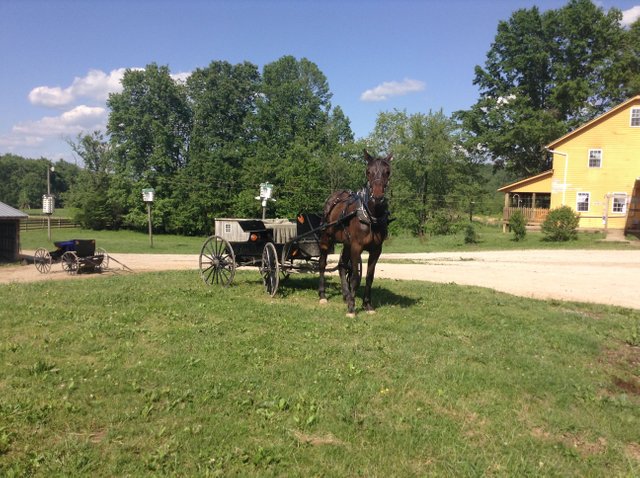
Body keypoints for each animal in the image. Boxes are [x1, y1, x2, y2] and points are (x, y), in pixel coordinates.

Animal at [318, 151, 392, 316]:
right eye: (368, 171)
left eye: (387, 172)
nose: (378, 196)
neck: (370, 216)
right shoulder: (356, 246)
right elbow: (355, 278)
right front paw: (352, 307)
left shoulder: (376, 250)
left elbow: (369, 277)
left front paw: (367, 305)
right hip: (326, 238)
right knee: (322, 263)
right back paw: (322, 295)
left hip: (346, 243)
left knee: (341, 266)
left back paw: (346, 294)